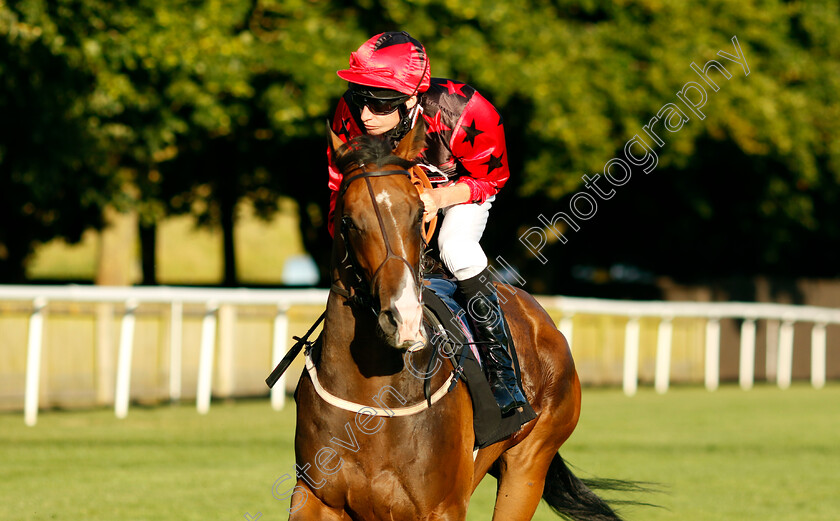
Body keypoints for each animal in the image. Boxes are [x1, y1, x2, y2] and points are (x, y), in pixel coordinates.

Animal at [288, 121, 636, 520]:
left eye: (417, 213)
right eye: (347, 220)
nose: (404, 318)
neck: (373, 400)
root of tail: (543, 321)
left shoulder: (443, 505)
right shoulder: (315, 496)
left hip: (529, 463)